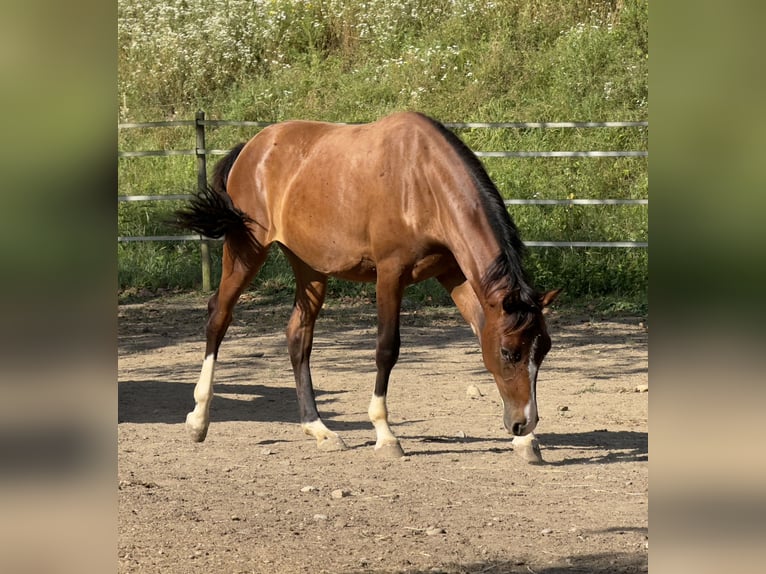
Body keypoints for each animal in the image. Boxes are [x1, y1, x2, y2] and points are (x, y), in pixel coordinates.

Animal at [176, 112, 560, 462]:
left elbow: (481, 332)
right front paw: (386, 434)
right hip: (246, 250)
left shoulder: (454, 273)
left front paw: (526, 443)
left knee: (298, 335)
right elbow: (387, 348)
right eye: (509, 352)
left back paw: (319, 429)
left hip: (309, 267)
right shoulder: (390, 274)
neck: (423, 182)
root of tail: (252, 148)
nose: (524, 422)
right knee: (218, 316)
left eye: (542, 350)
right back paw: (198, 419)